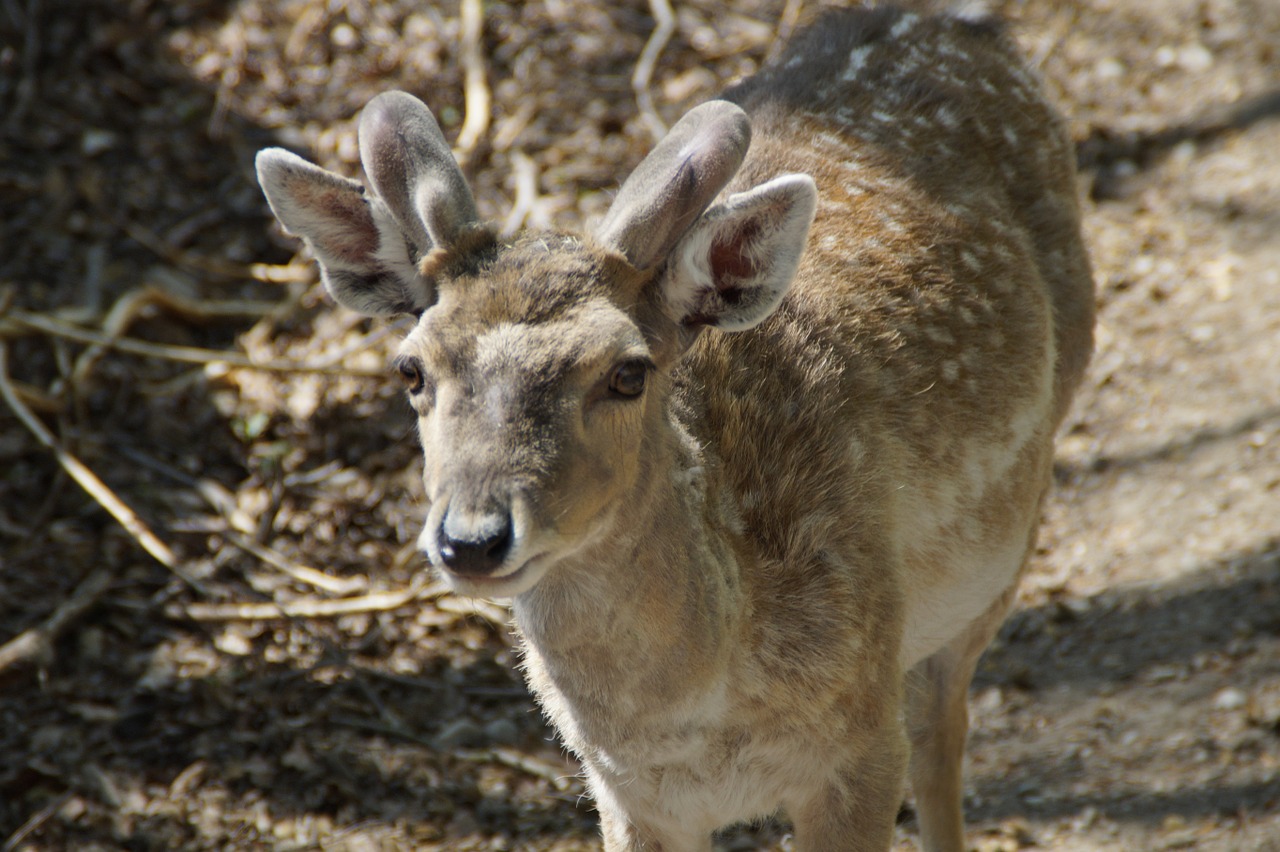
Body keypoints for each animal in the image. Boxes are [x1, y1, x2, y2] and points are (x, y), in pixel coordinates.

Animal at [254, 3, 1095, 844]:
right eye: (412, 369)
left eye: (628, 371)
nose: (472, 539)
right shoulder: (631, 794)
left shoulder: (860, 747)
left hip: (1009, 538)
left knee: (940, 722)